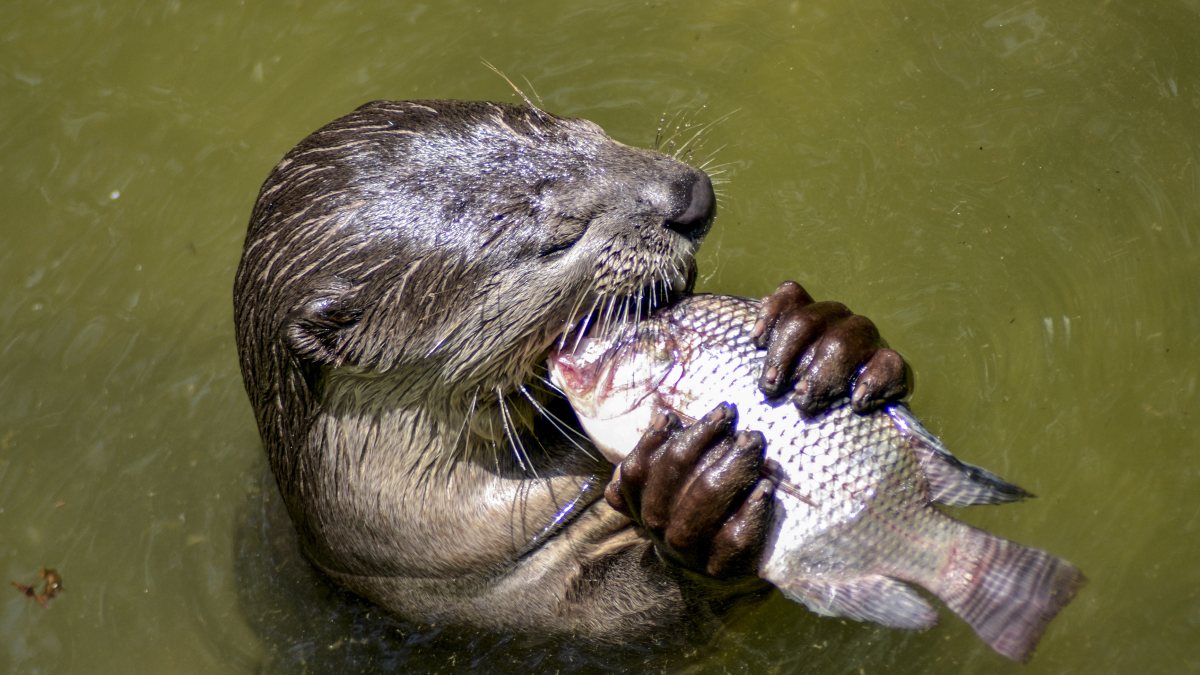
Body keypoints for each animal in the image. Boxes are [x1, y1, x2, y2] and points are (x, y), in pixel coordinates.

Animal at [233, 100, 910, 644]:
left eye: (589, 132)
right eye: (558, 239)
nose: (691, 195)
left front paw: (823, 340)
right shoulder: (491, 599)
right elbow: (644, 618)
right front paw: (695, 501)